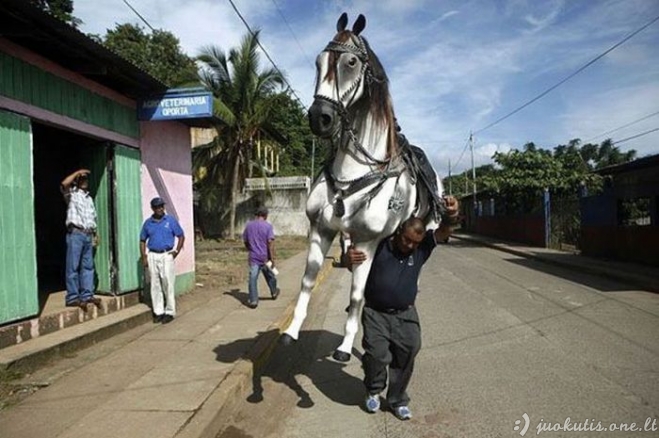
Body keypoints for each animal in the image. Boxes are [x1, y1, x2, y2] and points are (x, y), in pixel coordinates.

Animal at [278, 12, 444, 362]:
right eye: (319, 62)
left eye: (351, 62)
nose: (320, 118)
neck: (354, 172)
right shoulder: (322, 229)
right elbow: (307, 281)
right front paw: (291, 330)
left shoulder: (368, 240)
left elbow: (357, 294)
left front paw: (344, 345)